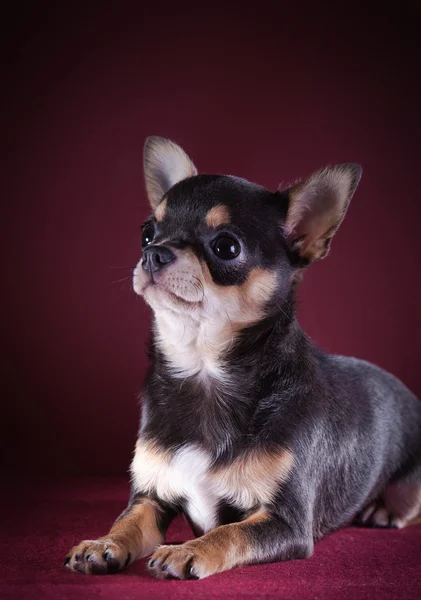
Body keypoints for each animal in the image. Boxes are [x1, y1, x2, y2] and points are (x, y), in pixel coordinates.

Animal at [65, 138, 420, 580]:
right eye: (147, 234)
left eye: (226, 247)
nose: (154, 254)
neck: (204, 368)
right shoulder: (151, 497)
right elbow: (128, 521)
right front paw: (103, 543)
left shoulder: (285, 522)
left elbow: (229, 533)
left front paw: (186, 550)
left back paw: (384, 509)